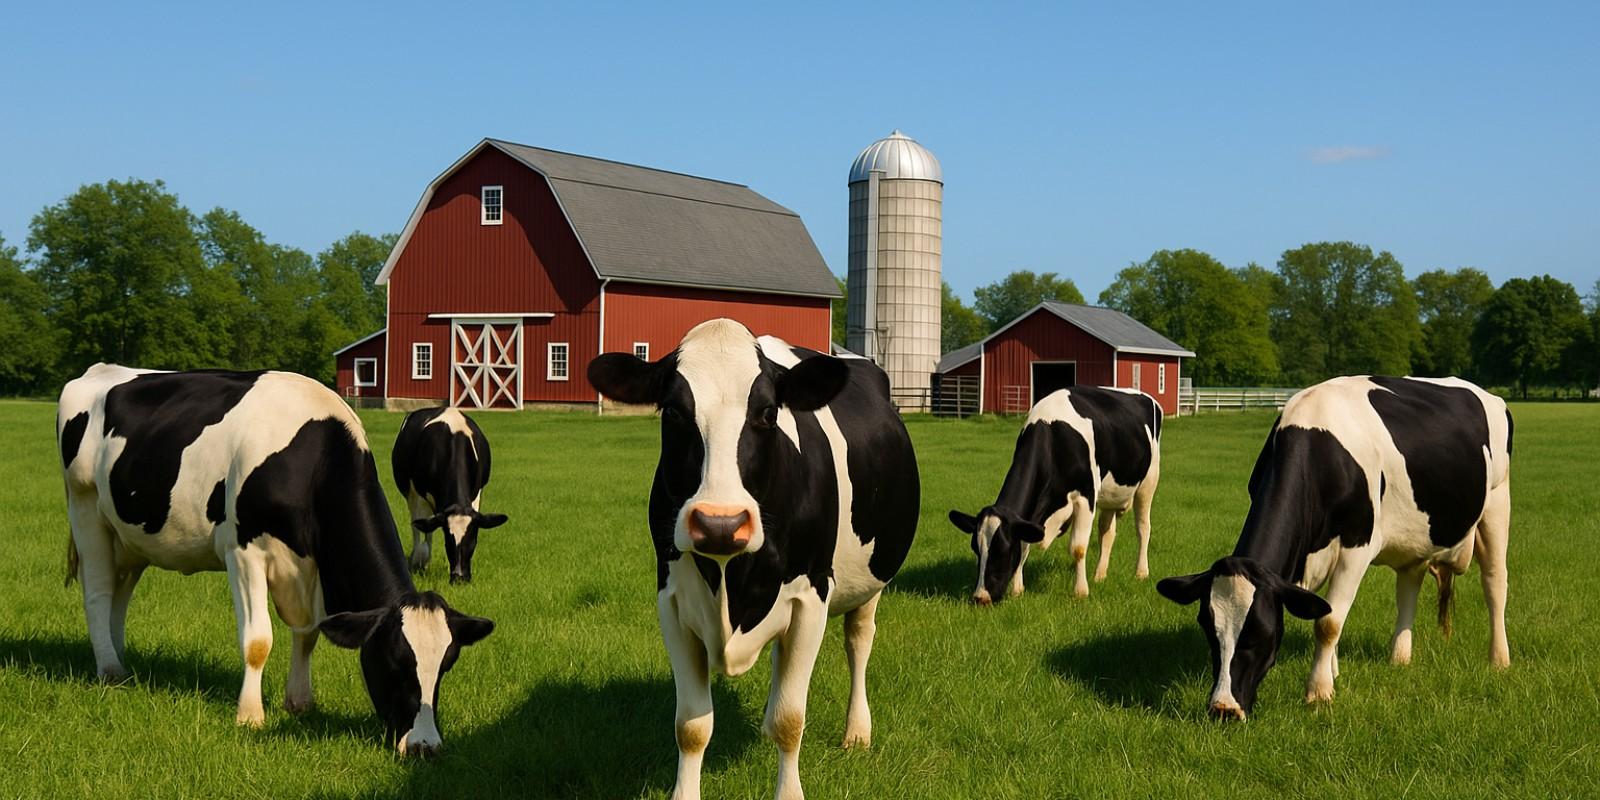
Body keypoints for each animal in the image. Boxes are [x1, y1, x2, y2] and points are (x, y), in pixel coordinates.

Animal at [391, 406, 507, 583]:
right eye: (448, 541)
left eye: (473, 540)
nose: (459, 578)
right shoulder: (417, 496)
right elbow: (421, 532)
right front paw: (417, 563)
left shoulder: (476, 496)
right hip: (412, 497)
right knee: (422, 530)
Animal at [587, 319, 919, 800]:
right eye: (673, 412)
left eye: (766, 413)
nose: (720, 524)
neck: (732, 582)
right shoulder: (672, 601)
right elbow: (691, 727)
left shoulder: (812, 598)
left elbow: (791, 720)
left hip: (872, 581)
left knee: (859, 641)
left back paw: (857, 731)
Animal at [948, 386, 1162, 604]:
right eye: (976, 548)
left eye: (1002, 549)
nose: (980, 597)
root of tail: (1143, 395)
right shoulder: (1030, 518)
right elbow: (1024, 545)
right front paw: (1017, 590)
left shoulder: (1086, 496)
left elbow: (1078, 548)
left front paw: (1080, 592)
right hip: (1110, 494)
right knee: (1107, 532)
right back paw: (1099, 575)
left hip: (1149, 481)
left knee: (1143, 527)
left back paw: (1141, 572)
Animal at [1156, 376, 1512, 720]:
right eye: (1208, 629)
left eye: (1261, 632)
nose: (1223, 709)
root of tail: (1486, 393)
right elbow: (1325, 609)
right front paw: (1332, 671)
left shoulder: (1357, 546)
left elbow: (1329, 622)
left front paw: (1319, 692)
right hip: (1415, 536)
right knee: (1409, 585)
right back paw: (1400, 656)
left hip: (1497, 502)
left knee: (1494, 582)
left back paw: (1499, 659)